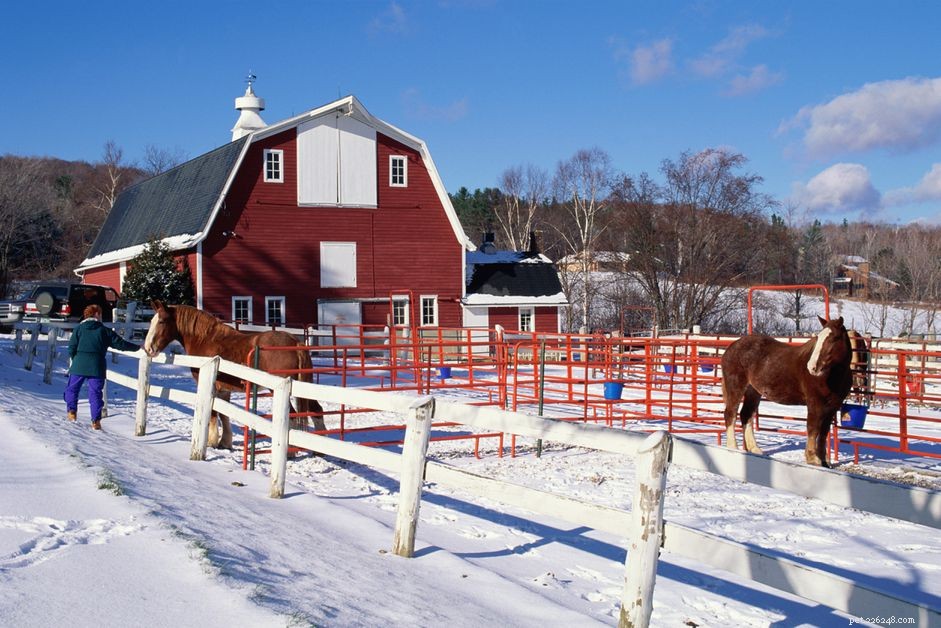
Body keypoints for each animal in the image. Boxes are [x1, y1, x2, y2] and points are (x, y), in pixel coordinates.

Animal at [143, 301, 324, 450]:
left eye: (161, 321)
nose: (148, 348)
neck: (205, 339)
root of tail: (295, 342)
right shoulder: (224, 390)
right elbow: (224, 415)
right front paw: (225, 442)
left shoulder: (211, 385)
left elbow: (214, 414)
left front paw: (211, 441)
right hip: (305, 389)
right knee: (316, 410)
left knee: (293, 416)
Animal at [720, 316, 852, 467]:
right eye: (818, 338)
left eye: (833, 339)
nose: (812, 367)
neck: (832, 375)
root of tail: (731, 347)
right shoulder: (815, 403)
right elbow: (813, 428)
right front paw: (812, 458)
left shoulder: (832, 407)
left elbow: (824, 432)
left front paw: (823, 461)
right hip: (736, 387)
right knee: (730, 414)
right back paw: (733, 447)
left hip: (753, 391)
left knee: (746, 415)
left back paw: (755, 449)